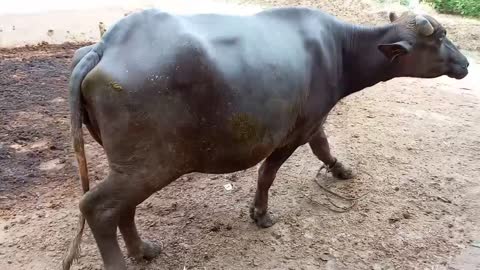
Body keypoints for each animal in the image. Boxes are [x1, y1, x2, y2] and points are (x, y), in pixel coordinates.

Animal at [62, 6, 468, 270]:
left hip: (131, 164)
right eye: (441, 37)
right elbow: (268, 173)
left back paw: (144, 250)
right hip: (150, 163)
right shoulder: (293, 133)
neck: (339, 49)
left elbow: (324, 148)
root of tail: (105, 46)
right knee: (98, 208)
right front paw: (260, 214)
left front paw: (342, 171)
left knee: (124, 207)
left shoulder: (313, 122)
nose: (465, 63)